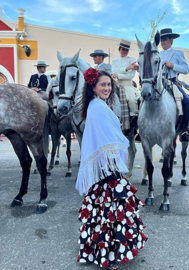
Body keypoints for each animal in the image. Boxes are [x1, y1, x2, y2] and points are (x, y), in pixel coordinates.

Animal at [0, 83, 48, 214]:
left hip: (32, 138)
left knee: (41, 163)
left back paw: (42, 201)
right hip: (15, 136)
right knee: (26, 162)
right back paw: (19, 197)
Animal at [136, 31, 188, 212]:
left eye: (157, 61)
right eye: (138, 62)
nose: (146, 93)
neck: (154, 110)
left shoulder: (165, 141)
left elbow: (164, 170)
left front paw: (165, 201)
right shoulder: (146, 142)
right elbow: (151, 168)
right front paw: (150, 197)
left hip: (184, 136)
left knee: (182, 154)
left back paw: (183, 178)